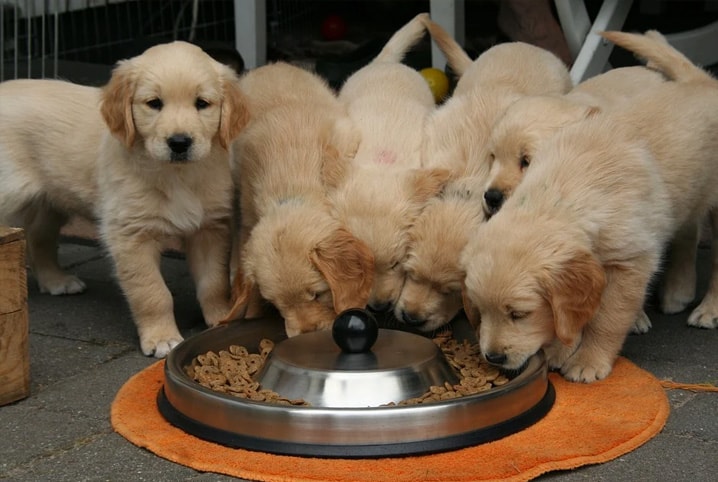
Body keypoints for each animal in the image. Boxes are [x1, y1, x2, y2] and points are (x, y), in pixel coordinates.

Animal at [0, 42, 250, 358]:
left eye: (202, 103)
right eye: (154, 103)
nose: (179, 143)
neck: (176, 175)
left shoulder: (209, 228)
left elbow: (213, 282)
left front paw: (221, 317)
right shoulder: (130, 235)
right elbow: (152, 292)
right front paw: (161, 337)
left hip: (50, 201)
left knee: (37, 237)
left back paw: (56, 280)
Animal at [225, 62, 374, 338]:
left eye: (317, 294)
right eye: (275, 304)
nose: (306, 333)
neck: (291, 191)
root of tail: (272, 65)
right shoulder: (248, 211)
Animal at [464, 31, 718, 384]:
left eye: (519, 314)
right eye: (480, 309)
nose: (494, 357)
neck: (564, 193)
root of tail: (701, 81)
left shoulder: (631, 262)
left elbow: (606, 318)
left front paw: (588, 360)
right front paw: (562, 348)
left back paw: (707, 309)